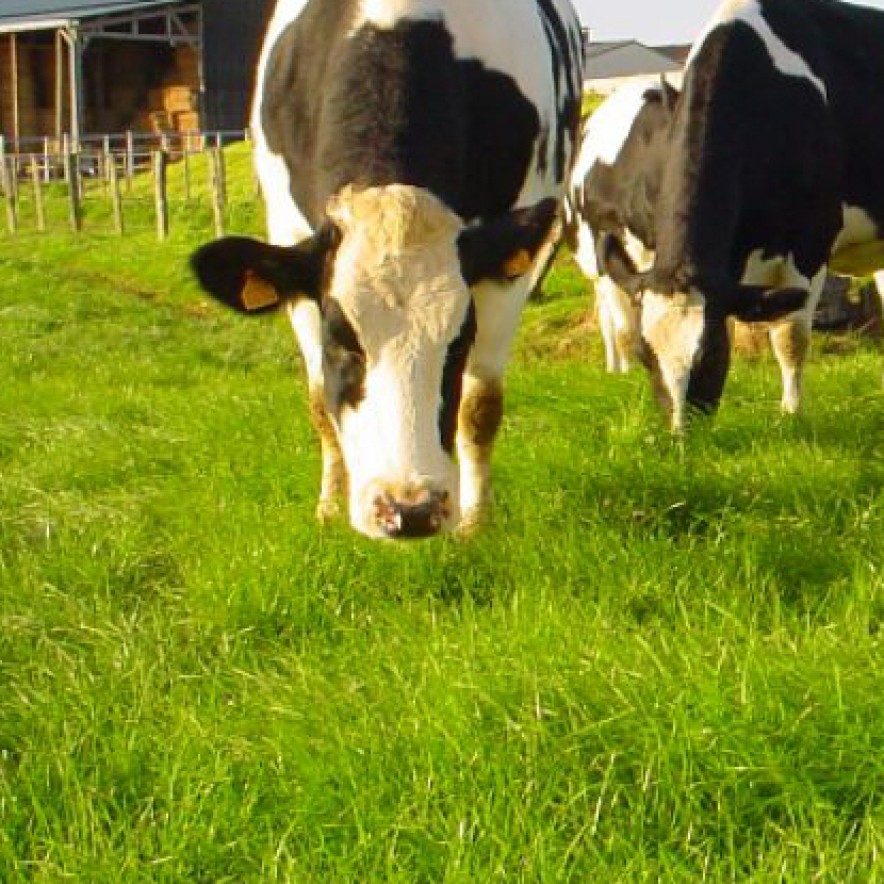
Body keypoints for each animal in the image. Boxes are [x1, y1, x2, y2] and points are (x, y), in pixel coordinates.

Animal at [190, 0, 584, 540]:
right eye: (341, 339)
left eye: (458, 342)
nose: (410, 509)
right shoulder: (291, 239)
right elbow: (320, 400)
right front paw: (328, 508)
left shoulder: (507, 258)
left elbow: (480, 405)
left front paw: (476, 523)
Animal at [604, 0, 884, 432]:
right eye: (645, 355)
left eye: (710, 354)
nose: (680, 436)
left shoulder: (810, 244)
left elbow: (789, 338)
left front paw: (791, 414)